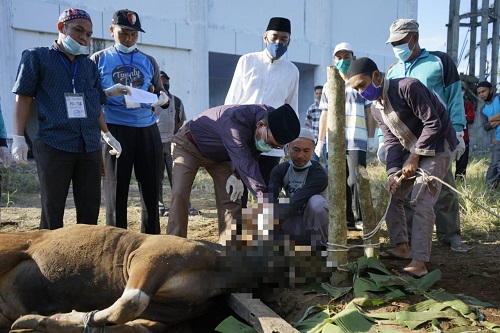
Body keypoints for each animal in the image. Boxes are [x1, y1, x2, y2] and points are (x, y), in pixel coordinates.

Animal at [0, 202, 328, 330]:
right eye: (286, 244)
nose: (322, 253)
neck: (220, 270)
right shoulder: (152, 255)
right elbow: (129, 303)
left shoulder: (166, 314)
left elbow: (132, 322)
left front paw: (42, 321)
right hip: (12, 245)